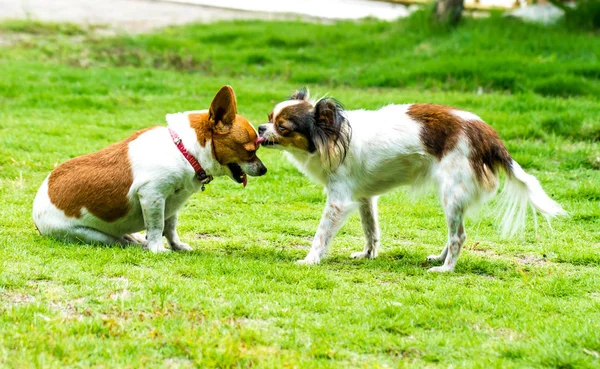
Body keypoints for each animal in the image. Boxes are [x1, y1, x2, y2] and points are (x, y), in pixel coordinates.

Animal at [32, 86, 266, 252]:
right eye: (251, 150)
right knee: (117, 240)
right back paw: (136, 243)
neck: (185, 150)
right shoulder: (152, 196)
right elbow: (156, 227)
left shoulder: (171, 204)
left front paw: (176, 246)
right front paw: (157, 248)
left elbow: (170, 228)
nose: (264, 170)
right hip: (92, 235)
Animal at [258, 86, 568, 270]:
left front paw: (311, 259)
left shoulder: (339, 201)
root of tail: (488, 136)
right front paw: (368, 254)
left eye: (282, 127)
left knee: (459, 236)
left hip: (451, 193)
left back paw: (445, 268)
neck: (333, 135)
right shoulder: (364, 197)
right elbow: (371, 230)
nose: (260, 127)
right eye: (269, 117)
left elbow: (321, 234)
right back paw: (440, 258)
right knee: (453, 234)